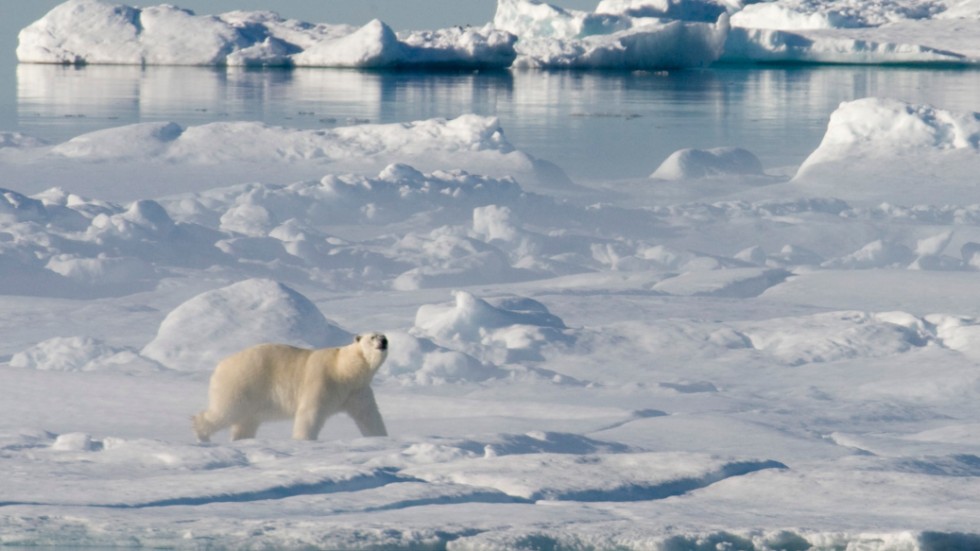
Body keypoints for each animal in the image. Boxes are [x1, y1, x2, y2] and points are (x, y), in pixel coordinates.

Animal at [191, 332, 390, 444]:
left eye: (384, 335)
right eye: (372, 337)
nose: (384, 341)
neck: (344, 369)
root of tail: (220, 366)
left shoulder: (357, 391)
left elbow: (369, 416)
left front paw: (380, 438)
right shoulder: (322, 381)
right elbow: (310, 413)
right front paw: (302, 440)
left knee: (246, 422)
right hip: (242, 383)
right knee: (227, 411)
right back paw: (202, 434)